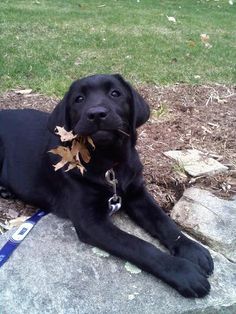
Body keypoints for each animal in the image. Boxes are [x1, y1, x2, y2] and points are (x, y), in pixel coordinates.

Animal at [0, 73, 214, 296]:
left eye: (115, 93)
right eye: (79, 99)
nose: (96, 114)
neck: (108, 164)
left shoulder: (137, 193)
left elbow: (163, 221)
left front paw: (192, 249)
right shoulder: (91, 222)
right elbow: (138, 245)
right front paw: (182, 271)